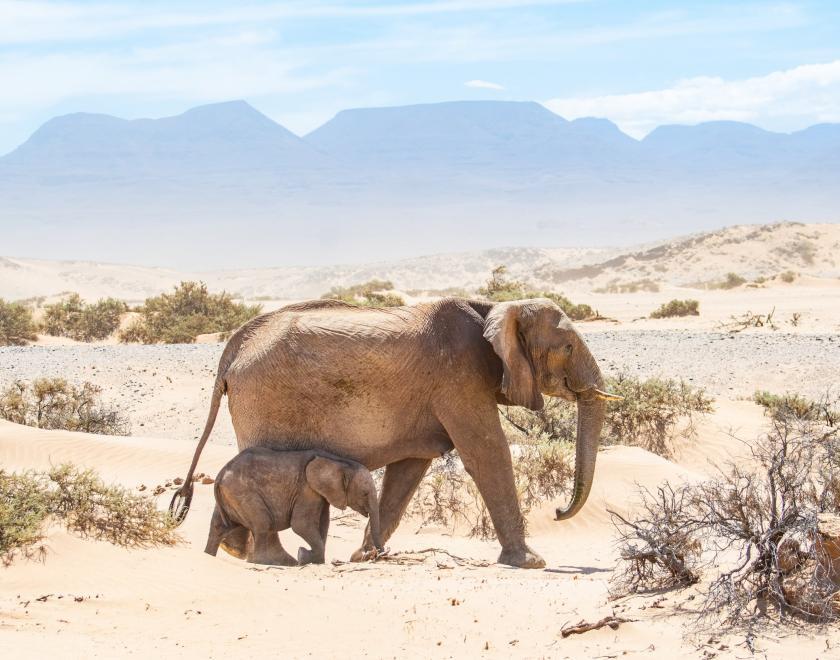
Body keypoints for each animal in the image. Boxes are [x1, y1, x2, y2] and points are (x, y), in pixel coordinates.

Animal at [205, 447, 382, 565]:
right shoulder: (307, 490)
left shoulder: (318, 494)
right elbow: (301, 525)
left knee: (218, 526)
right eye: (365, 493)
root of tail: (220, 475)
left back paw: (208, 555)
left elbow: (322, 524)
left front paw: (311, 558)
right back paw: (264, 562)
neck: (339, 462)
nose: (378, 553)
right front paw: (303, 556)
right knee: (263, 523)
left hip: (230, 496)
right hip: (243, 493)